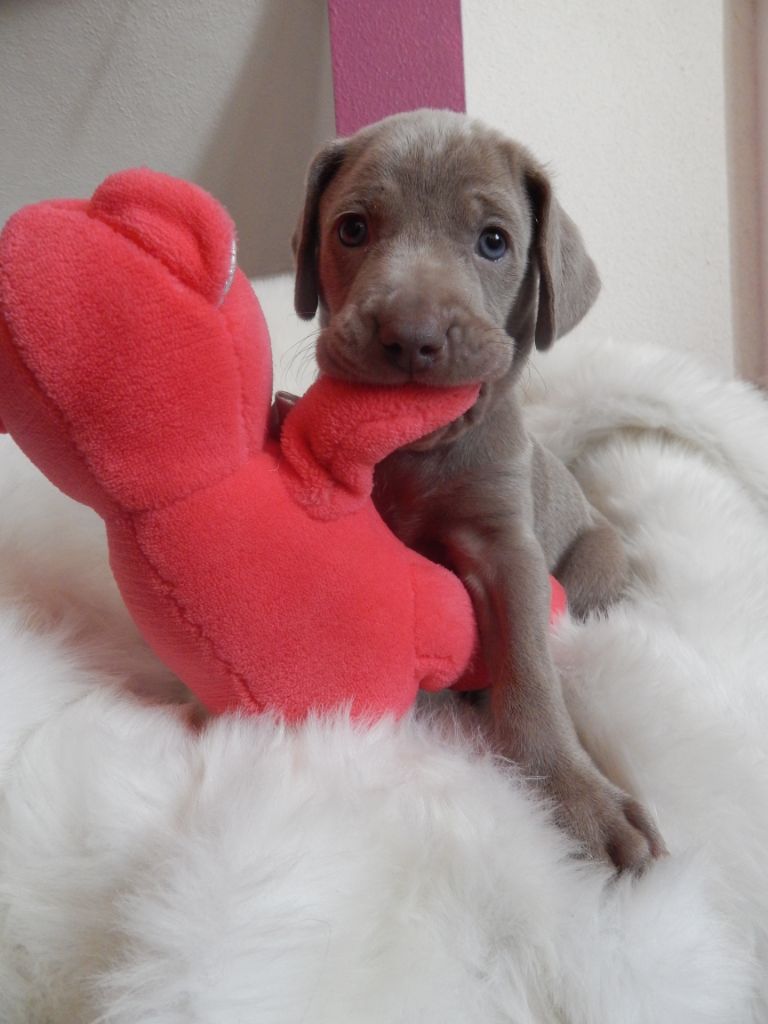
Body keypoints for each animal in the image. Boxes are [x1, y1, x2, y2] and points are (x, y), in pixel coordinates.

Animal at [290, 109, 666, 872]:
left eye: (494, 241)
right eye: (352, 229)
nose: (411, 336)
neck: (416, 451)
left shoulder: (505, 547)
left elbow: (529, 671)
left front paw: (576, 797)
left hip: (598, 561)